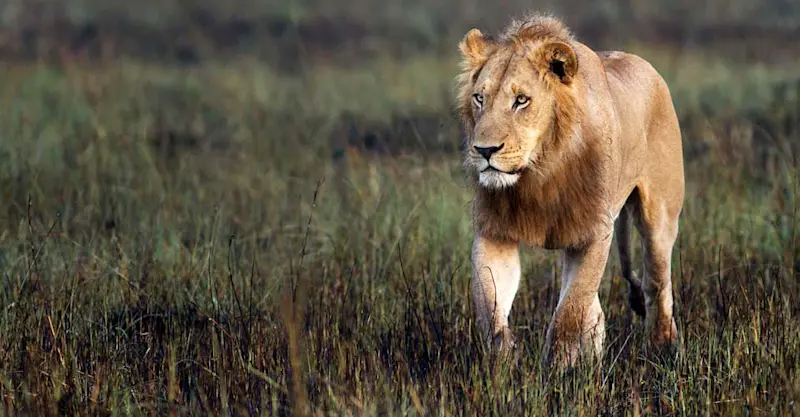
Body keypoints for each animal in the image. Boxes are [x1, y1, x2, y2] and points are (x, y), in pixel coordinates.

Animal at [456, 14, 685, 368]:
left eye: (521, 100)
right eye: (480, 98)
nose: (484, 150)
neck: (540, 172)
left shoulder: (594, 232)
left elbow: (570, 312)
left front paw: (557, 369)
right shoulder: (495, 233)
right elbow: (490, 306)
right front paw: (504, 362)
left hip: (660, 214)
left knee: (657, 283)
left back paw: (663, 347)